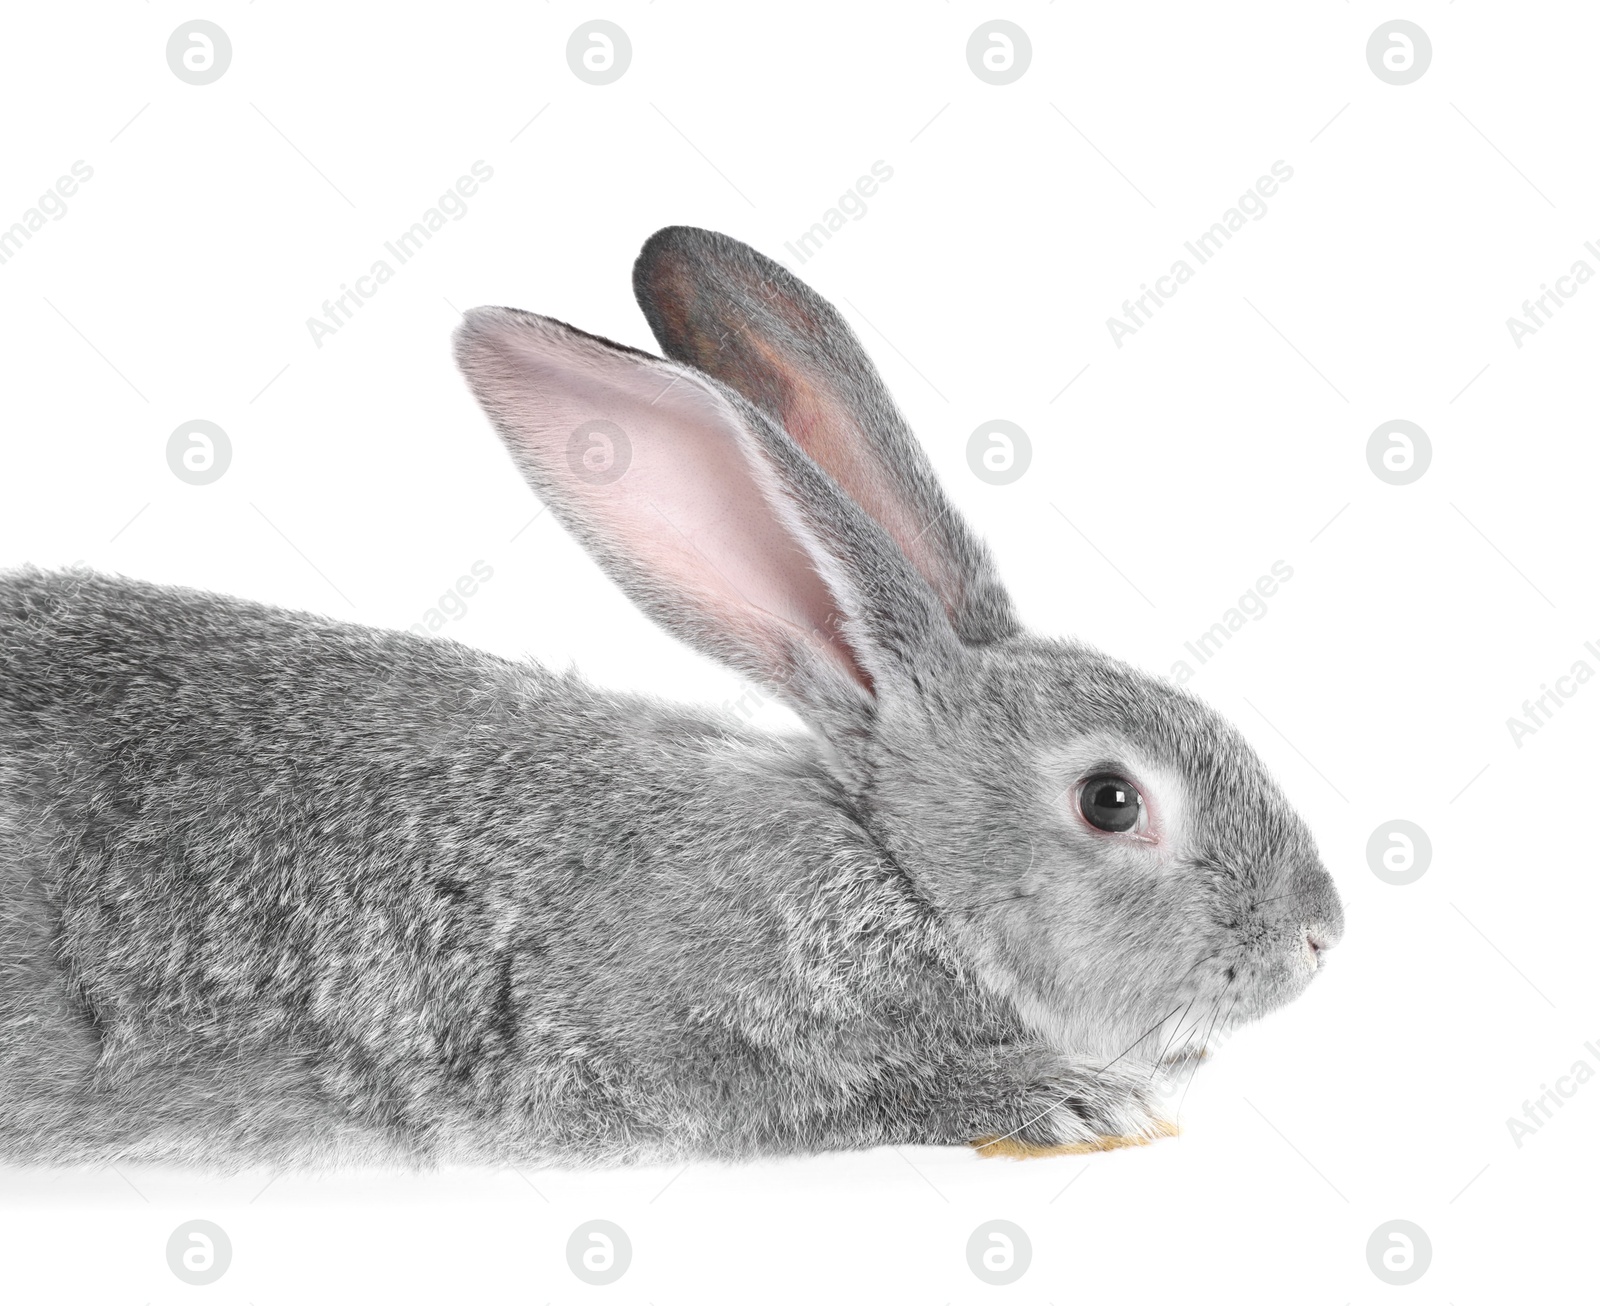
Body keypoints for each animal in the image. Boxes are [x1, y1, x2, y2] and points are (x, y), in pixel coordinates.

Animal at [0, 227, 1344, 1171]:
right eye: (1110, 800)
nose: (1320, 936)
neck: (893, 867)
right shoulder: (653, 1041)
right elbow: (831, 1094)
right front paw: (1069, 1101)